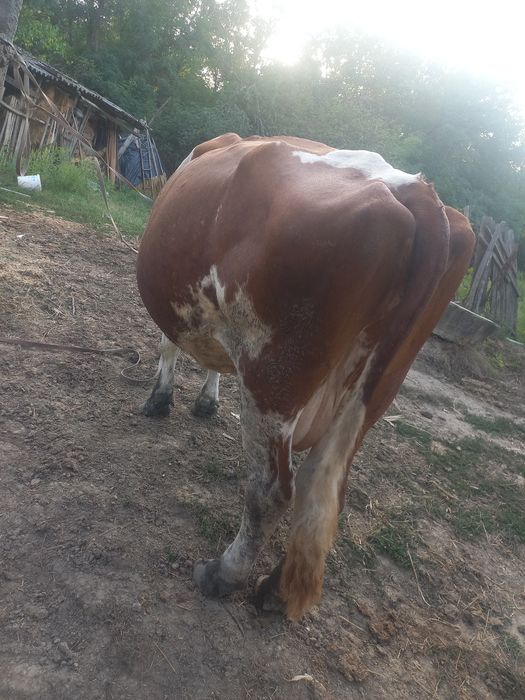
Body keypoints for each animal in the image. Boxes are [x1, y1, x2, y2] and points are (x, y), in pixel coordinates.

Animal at [136, 133, 475, 620]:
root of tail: (417, 191)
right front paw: (206, 400)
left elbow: (169, 343)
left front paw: (160, 399)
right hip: (374, 390)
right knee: (324, 487)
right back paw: (276, 591)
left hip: (274, 375)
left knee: (273, 489)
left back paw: (225, 574)